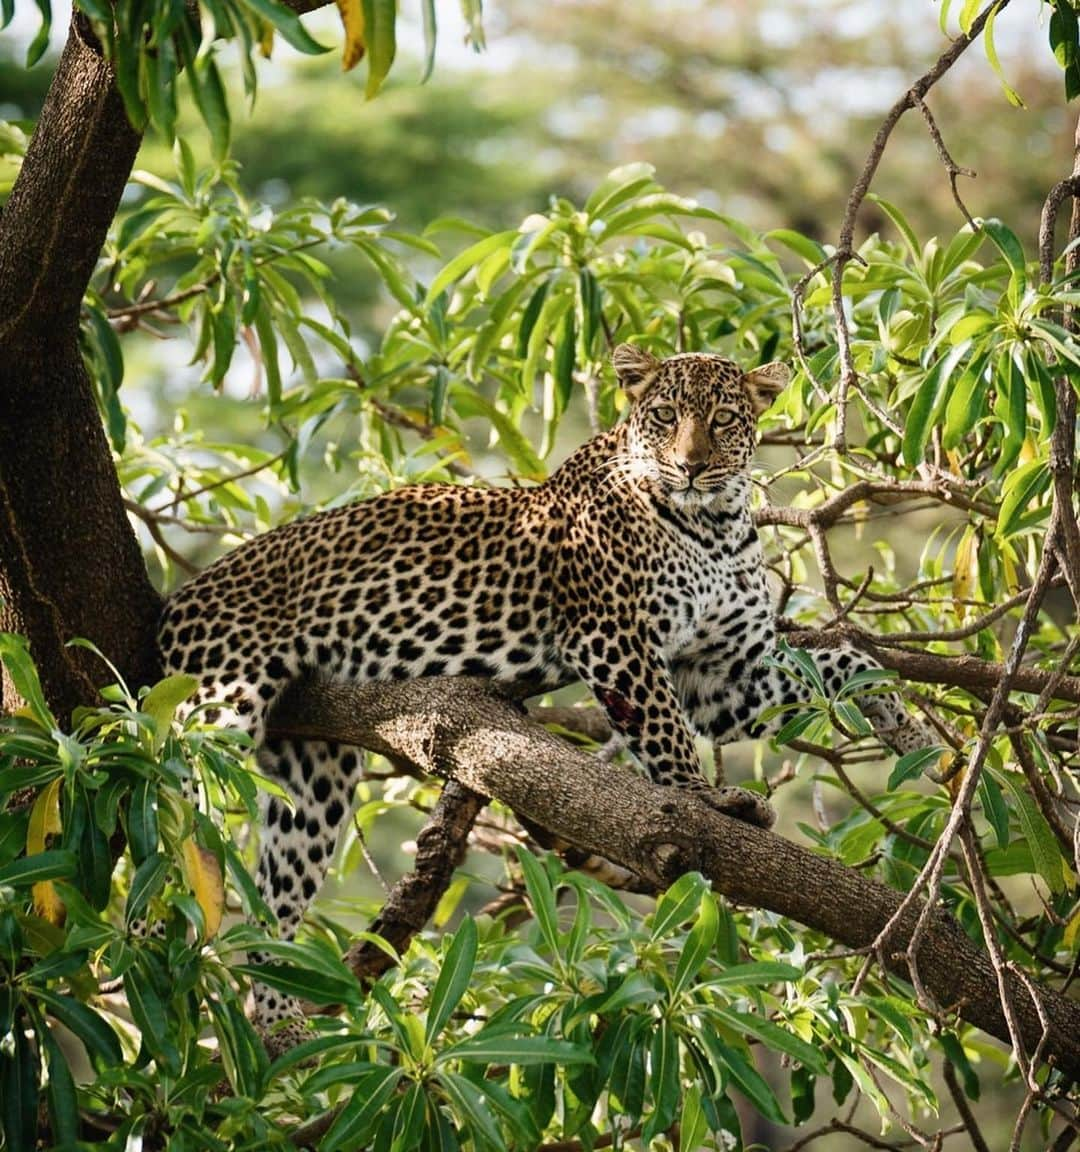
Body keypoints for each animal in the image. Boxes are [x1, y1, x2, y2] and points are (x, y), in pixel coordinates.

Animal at [157, 340, 934, 1046]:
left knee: (274, 897)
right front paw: (704, 801)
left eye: (722, 418)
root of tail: (179, 601)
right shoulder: (615, 639)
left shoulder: (722, 674)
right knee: (173, 823)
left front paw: (912, 736)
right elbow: (666, 733)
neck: (715, 522)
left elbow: (846, 658)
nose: (691, 465)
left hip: (312, 776)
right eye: (665, 415)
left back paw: (277, 1021)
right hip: (212, 707)